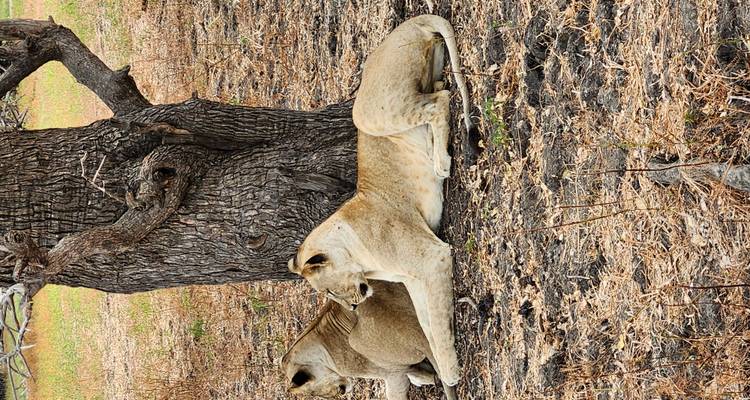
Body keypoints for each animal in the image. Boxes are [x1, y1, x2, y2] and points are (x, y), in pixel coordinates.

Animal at [288, 15, 472, 386]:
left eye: (328, 292)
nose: (353, 307)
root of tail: (411, 22)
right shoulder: (414, 276)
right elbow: (428, 324)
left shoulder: (430, 257)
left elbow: (436, 330)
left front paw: (450, 374)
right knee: (440, 90)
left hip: (366, 112)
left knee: (440, 100)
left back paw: (441, 163)